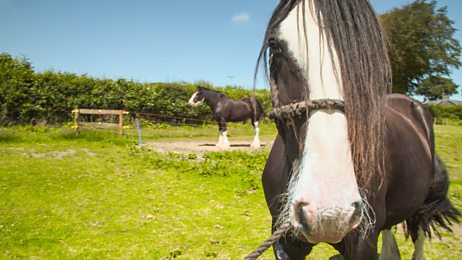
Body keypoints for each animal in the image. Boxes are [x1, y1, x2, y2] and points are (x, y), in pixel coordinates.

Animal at [256, 0, 458, 260]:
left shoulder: (364, 242)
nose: (329, 212)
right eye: (275, 45)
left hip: (421, 203)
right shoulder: (284, 243)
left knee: (419, 232)